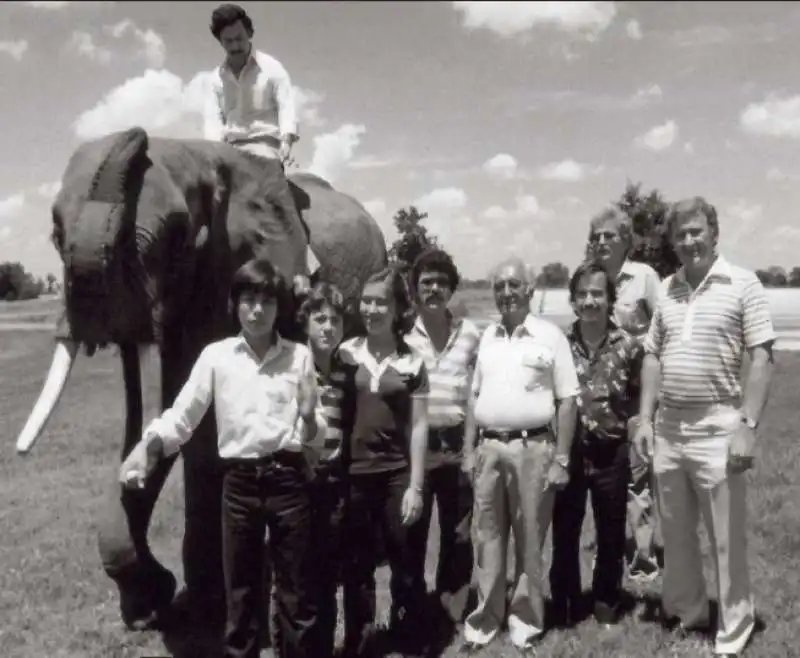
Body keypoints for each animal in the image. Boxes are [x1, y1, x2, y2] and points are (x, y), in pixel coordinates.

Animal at [13, 124, 388, 632]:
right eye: (55, 232)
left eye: (177, 236)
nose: (135, 134)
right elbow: (170, 411)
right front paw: (160, 604)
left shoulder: (225, 269)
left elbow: (202, 434)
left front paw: (202, 605)